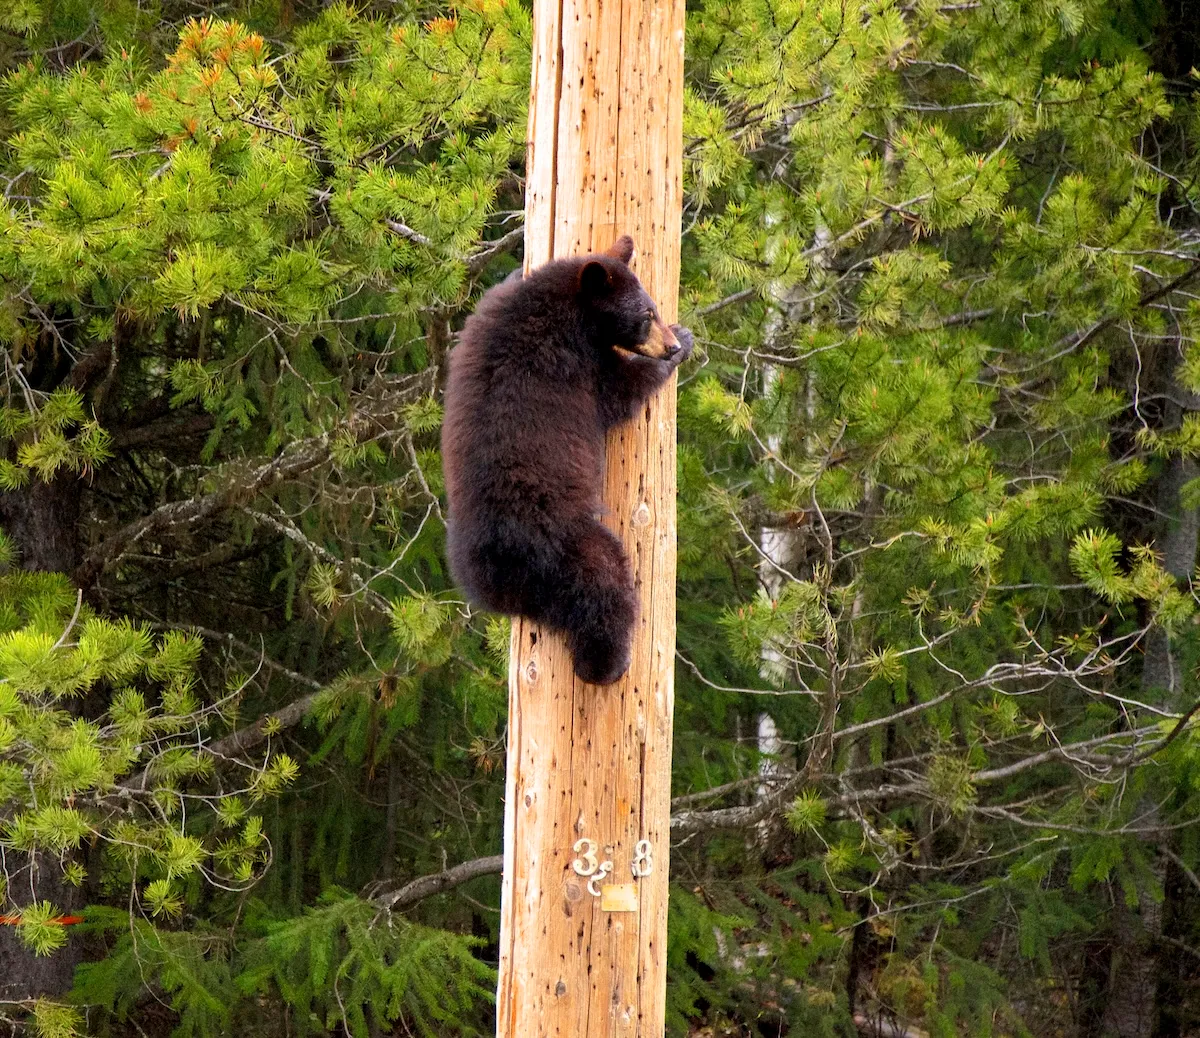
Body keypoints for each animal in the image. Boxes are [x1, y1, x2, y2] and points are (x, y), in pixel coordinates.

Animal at [441, 235, 693, 685]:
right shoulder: (573, 365)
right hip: (570, 545)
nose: (672, 345)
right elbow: (620, 390)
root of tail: (501, 575)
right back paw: (606, 665)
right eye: (647, 314)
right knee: (604, 590)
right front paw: (677, 347)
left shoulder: (490, 309)